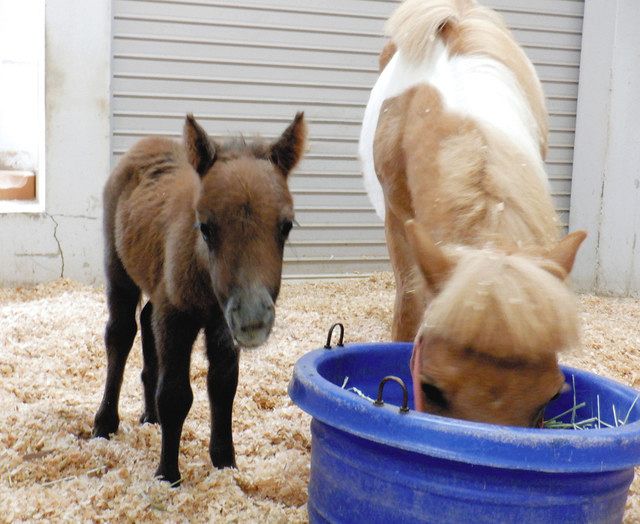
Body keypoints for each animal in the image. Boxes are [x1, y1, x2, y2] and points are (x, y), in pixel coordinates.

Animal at [92, 113, 308, 484]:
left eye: (286, 226)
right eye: (206, 227)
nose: (253, 319)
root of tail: (145, 143)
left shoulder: (221, 323)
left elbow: (222, 386)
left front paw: (225, 463)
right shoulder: (177, 318)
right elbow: (175, 395)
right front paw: (167, 475)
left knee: (146, 321)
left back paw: (150, 416)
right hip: (119, 271)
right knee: (120, 334)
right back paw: (105, 423)